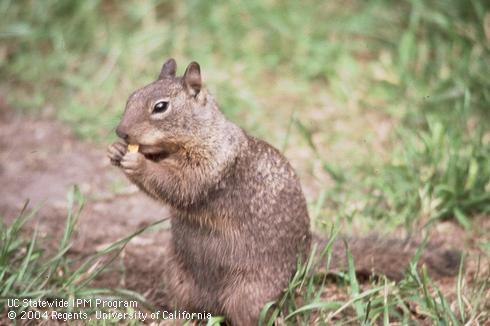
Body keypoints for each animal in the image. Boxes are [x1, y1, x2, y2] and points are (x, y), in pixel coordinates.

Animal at [106, 59, 460, 326]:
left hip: (249, 294)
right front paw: (115, 151)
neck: (190, 140)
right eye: (131, 95)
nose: (121, 132)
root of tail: (305, 257)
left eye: (160, 107)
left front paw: (137, 161)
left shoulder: (211, 164)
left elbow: (180, 184)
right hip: (179, 281)